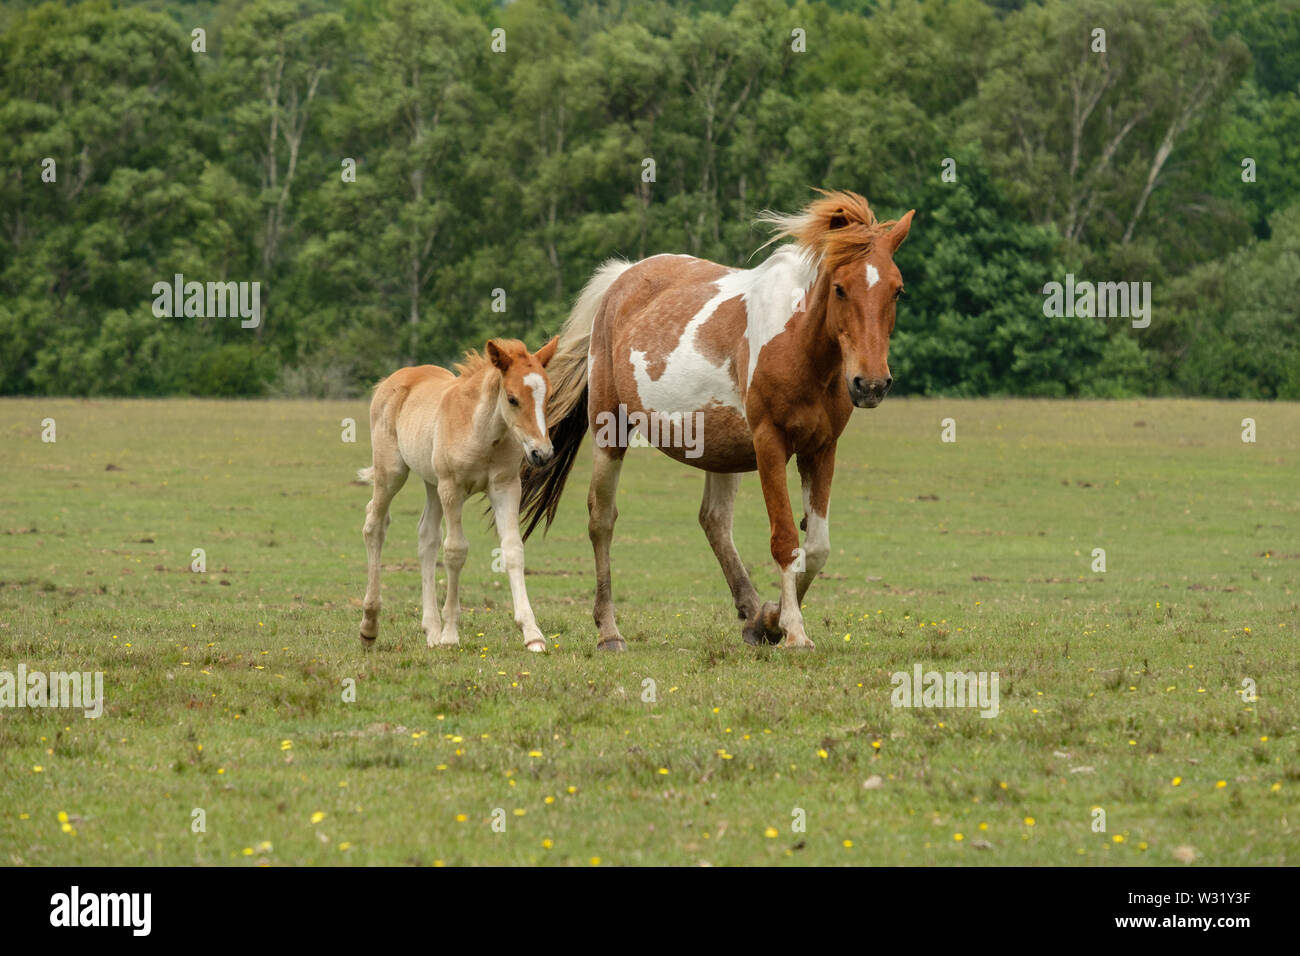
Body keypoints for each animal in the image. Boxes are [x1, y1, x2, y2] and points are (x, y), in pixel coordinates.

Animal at [358, 337, 558, 652]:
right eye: (512, 398)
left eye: (548, 397)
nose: (543, 453)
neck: (483, 432)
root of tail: (393, 380)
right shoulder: (452, 487)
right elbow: (455, 551)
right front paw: (451, 633)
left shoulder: (505, 487)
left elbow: (513, 549)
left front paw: (532, 634)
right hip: (392, 472)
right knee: (375, 524)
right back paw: (370, 626)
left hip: (431, 482)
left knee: (427, 535)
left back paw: (431, 630)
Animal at [519, 190, 914, 650]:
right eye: (840, 288)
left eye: (897, 290)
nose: (871, 384)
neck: (799, 342)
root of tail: (622, 277)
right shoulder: (769, 443)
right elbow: (785, 539)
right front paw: (793, 630)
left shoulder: (821, 448)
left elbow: (816, 547)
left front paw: (772, 618)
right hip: (609, 432)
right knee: (602, 519)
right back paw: (609, 632)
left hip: (721, 451)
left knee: (714, 521)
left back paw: (752, 614)